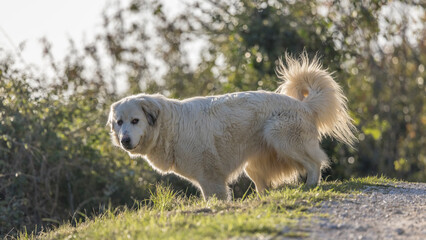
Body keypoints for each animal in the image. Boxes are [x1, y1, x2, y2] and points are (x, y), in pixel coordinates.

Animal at [106, 53, 356, 200]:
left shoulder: (211, 178)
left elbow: (214, 198)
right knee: (265, 184)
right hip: (254, 164)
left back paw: (310, 186)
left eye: (135, 120)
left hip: (279, 135)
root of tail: (305, 105)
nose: (125, 140)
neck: (170, 126)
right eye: (119, 123)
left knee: (315, 163)